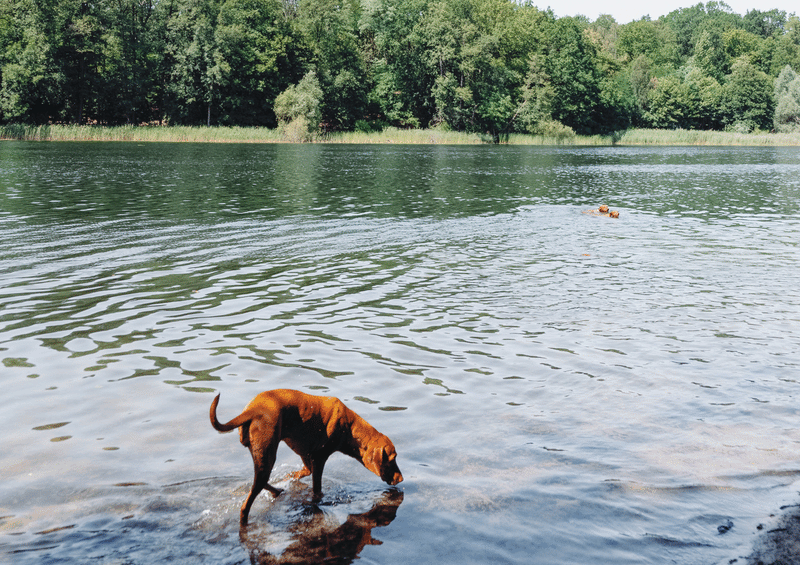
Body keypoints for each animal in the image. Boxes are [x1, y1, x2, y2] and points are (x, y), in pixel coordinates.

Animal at [209, 388, 404, 524]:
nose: (401, 479)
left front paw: (290, 479)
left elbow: (300, 473)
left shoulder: (307, 457)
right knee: (246, 505)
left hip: (262, 457)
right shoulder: (319, 459)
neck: (350, 428)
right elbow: (317, 489)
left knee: (260, 482)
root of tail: (252, 410)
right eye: (392, 459)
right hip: (268, 455)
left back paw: (277, 491)